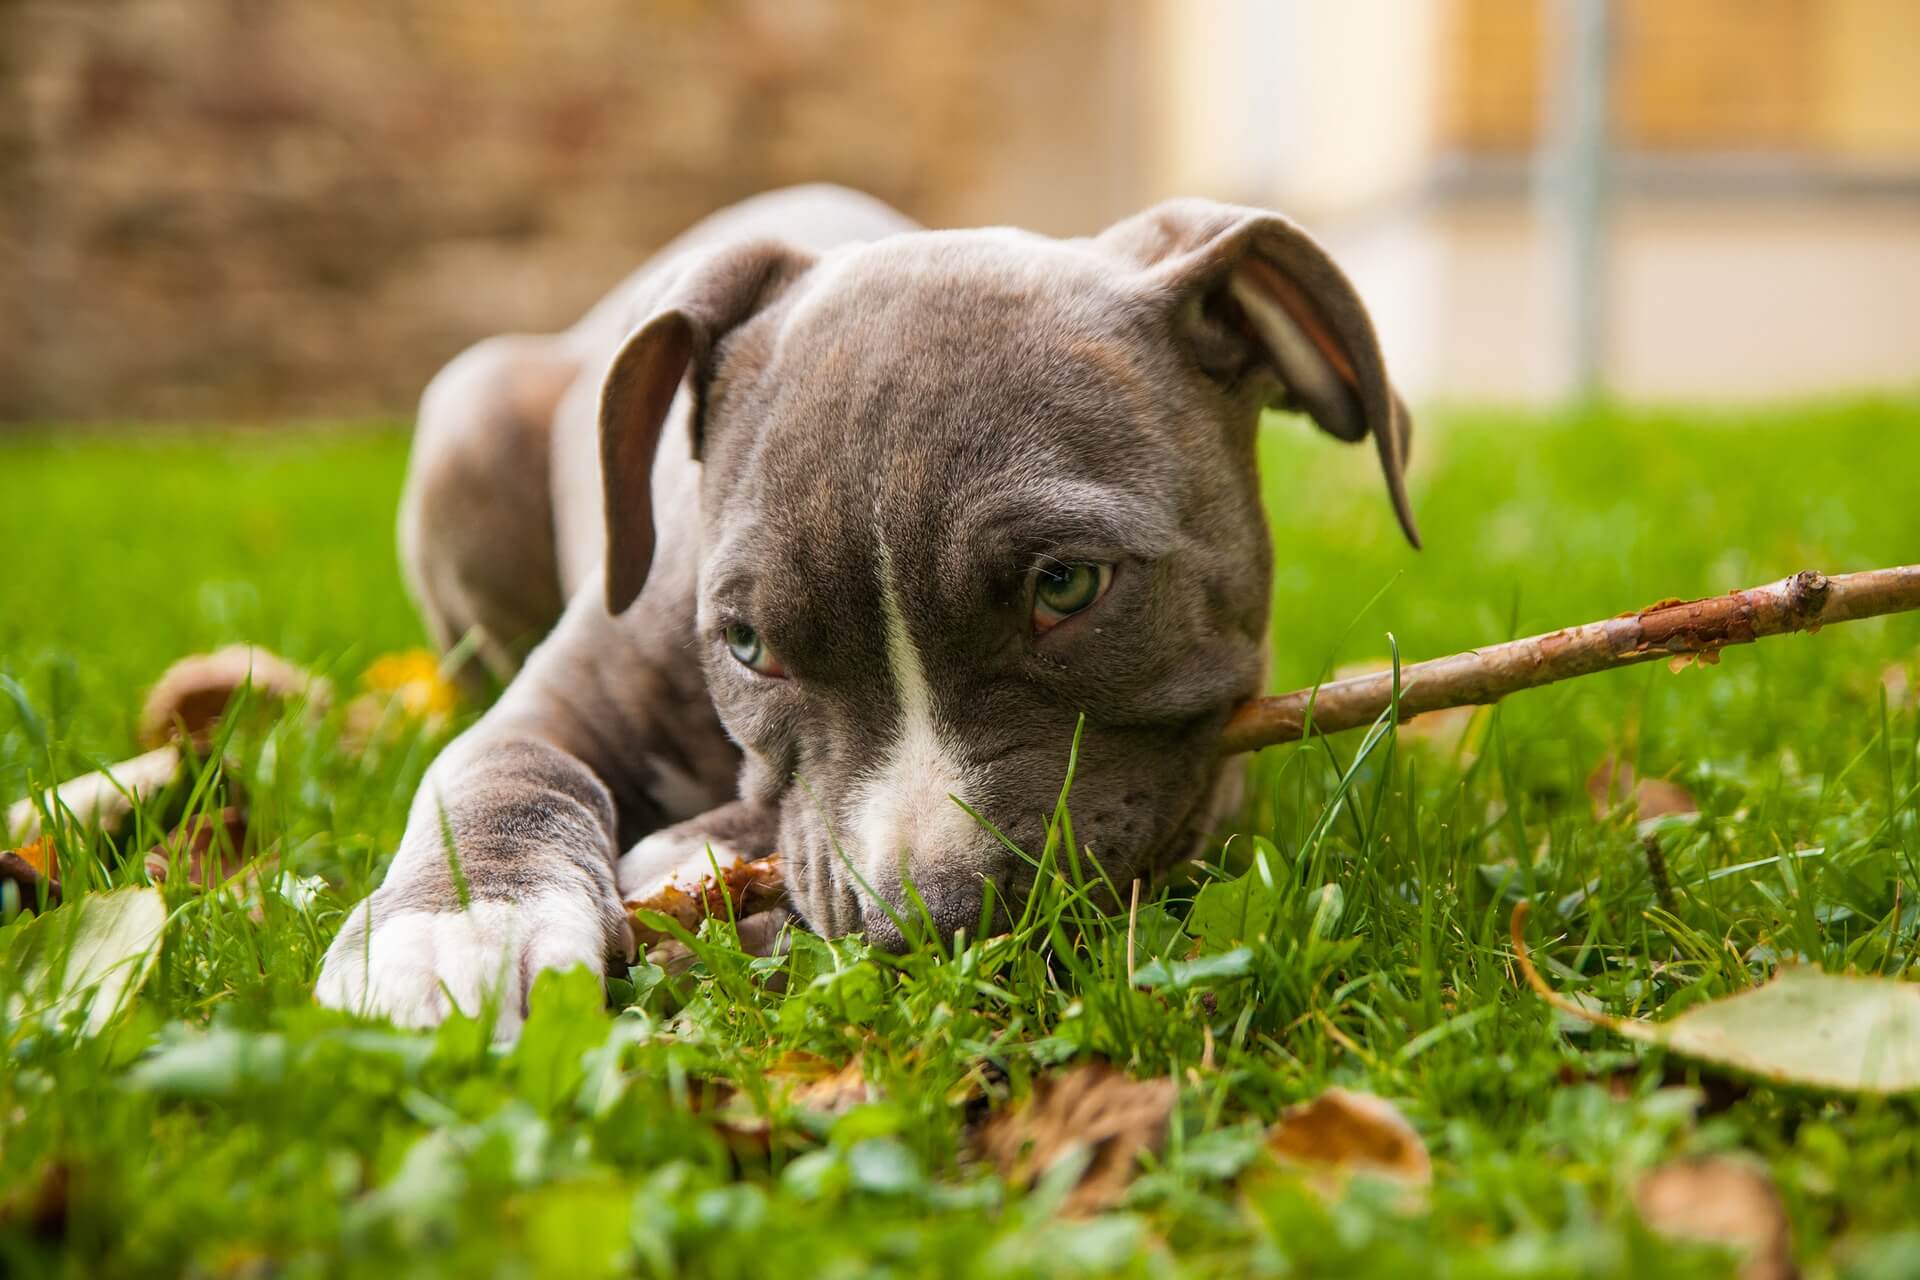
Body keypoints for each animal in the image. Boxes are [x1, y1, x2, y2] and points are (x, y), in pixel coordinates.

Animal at [314, 185, 1420, 1036]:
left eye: (1067, 585)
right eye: (747, 646)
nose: (924, 921)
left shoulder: (1210, 772)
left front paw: (704, 860)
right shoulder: (566, 695)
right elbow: (496, 769)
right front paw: (458, 927)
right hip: (467, 409)